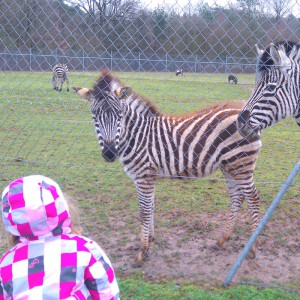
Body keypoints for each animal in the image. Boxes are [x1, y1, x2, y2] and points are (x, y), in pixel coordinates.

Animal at [74, 69, 262, 266]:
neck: (137, 136)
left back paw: (253, 248)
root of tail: (243, 112)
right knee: (237, 198)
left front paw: (142, 251)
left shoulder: (143, 177)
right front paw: (150, 239)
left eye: (119, 115)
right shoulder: (149, 176)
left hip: (241, 164)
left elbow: (144, 210)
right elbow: (151, 206)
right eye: (95, 116)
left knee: (253, 198)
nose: (110, 153)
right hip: (230, 166)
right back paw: (222, 240)